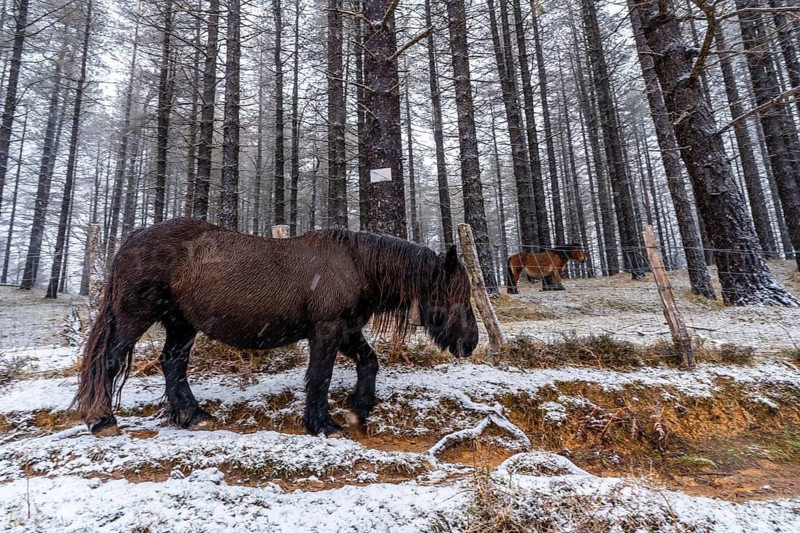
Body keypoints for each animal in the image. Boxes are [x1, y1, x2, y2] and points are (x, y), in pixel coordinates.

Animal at [74, 218, 479, 437]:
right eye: (457, 294)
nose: (472, 342)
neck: (354, 265)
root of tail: (131, 239)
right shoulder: (327, 330)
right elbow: (320, 377)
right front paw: (322, 424)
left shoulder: (347, 330)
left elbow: (369, 362)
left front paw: (359, 408)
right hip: (135, 317)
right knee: (109, 361)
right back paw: (103, 420)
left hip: (181, 324)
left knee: (172, 362)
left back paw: (192, 416)